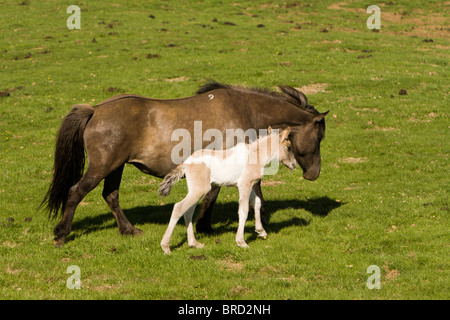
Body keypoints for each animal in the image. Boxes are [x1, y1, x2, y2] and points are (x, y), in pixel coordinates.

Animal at [40, 81, 326, 246]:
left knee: (110, 196)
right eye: (320, 136)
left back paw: (129, 230)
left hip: (115, 167)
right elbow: (219, 195)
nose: (314, 174)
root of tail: (95, 110)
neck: (243, 110)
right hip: (102, 167)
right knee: (76, 192)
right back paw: (61, 234)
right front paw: (206, 225)